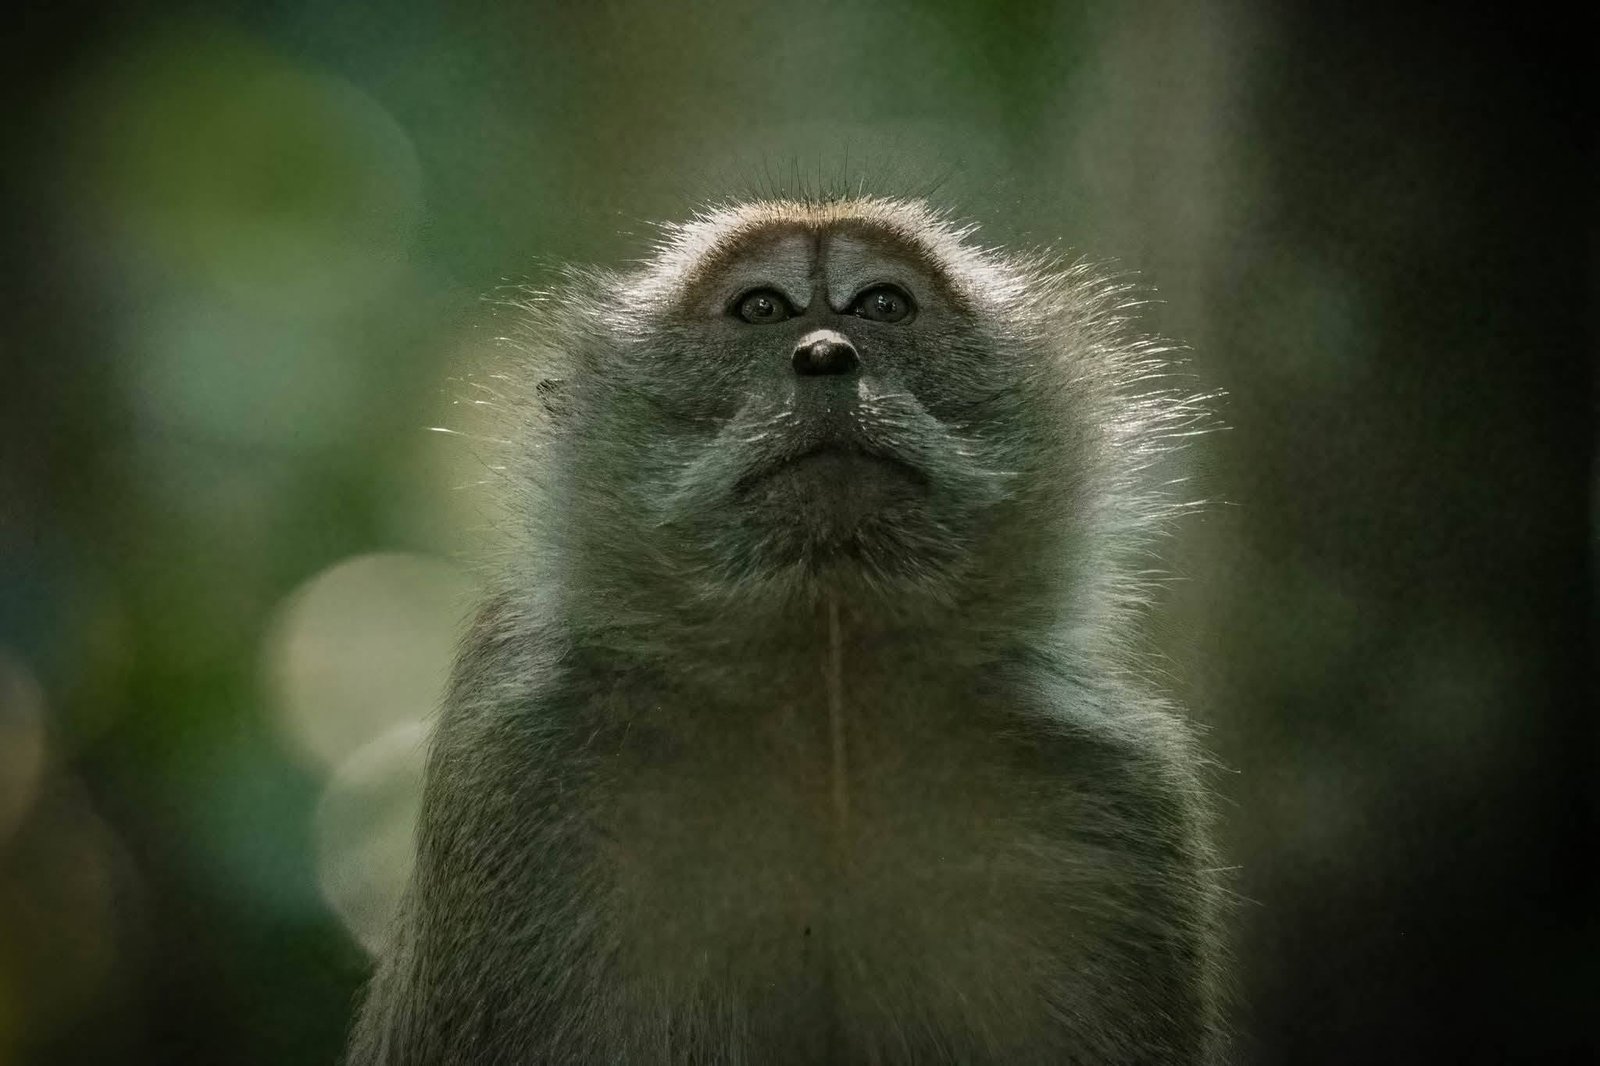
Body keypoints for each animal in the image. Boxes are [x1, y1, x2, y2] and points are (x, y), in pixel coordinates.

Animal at [347, 195, 1224, 1064]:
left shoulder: (1109, 792)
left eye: (882, 305)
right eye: (762, 308)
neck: (825, 696)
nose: (827, 354)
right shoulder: (521, 767)